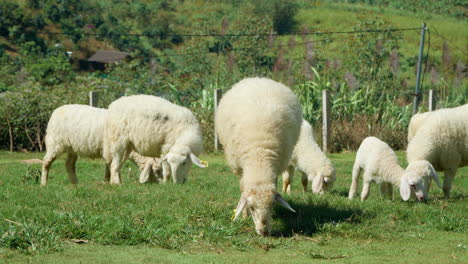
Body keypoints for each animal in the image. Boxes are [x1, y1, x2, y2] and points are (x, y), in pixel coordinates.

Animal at [214, 76, 302, 235]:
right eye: (252, 207)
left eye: (272, 205)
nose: (264, 232)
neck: (259, 157)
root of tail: (258, 79)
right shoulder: (241, 168)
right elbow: (242, 188)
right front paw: (244, 216)